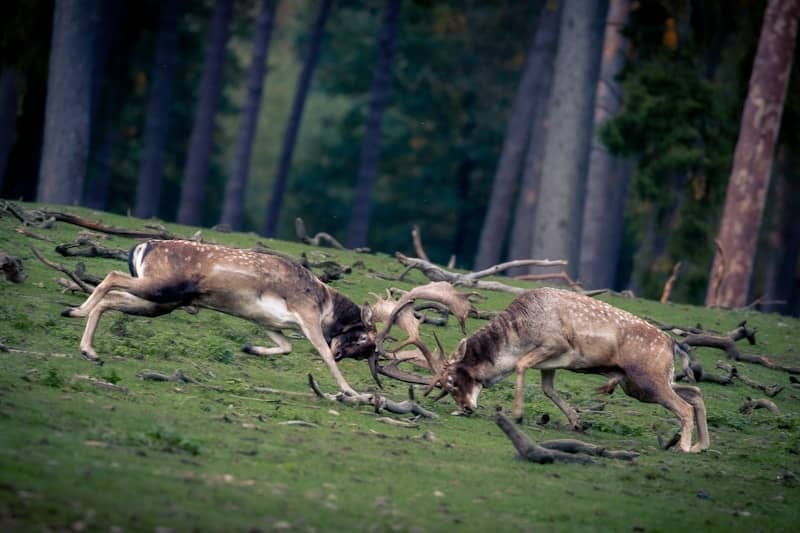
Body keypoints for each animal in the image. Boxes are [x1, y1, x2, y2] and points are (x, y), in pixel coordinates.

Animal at [376, 286, 710, 453]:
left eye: (453, 380)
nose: (468, 408)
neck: (521, 330)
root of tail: (673, 343)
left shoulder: (555, 345)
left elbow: (522, 365)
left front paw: (517, 414)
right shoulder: (551, 364)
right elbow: (549, 388)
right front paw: (577, 422)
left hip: (647, 378)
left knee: (683, 405)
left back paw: (683, 447)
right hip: (639, 384)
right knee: (694, 391)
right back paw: (701, 445)